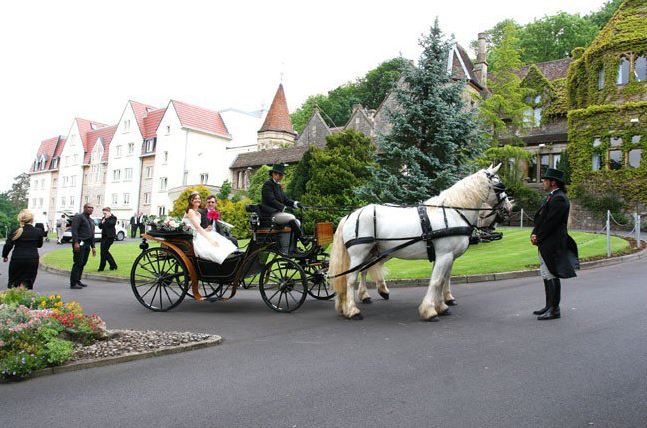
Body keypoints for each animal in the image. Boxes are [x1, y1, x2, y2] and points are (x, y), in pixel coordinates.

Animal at [332, 165, 512, 320]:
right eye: (500, 187)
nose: (509, 208)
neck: (453, 212)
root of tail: (350, 215)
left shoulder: (446, 257)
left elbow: (442, 280)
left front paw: (442, 306)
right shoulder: (445, 255)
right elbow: (437, 281)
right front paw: (430, 311)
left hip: (373, 251)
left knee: (362, 271)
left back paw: (353, 301)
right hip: (359, 253)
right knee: (350, 278)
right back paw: (352, 310)